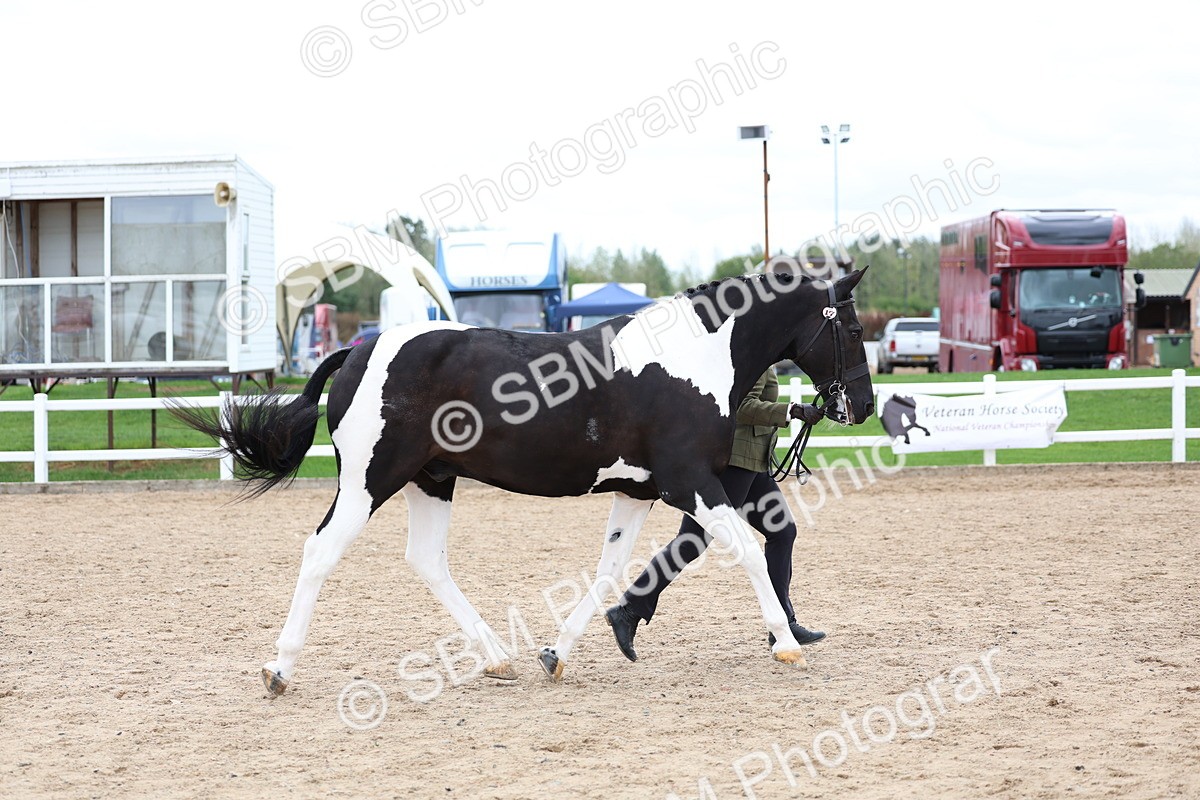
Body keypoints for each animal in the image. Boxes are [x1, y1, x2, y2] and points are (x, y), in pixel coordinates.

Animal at [172, 268, 874, 696]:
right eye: (852, 326)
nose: (861, 406)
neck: (692, 358)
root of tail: (361, 349)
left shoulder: (639, 492)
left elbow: (608, 572)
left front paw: (557, 654)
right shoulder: (692, 483)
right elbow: (751, 552)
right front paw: (787, 645)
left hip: (431, 478)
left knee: (426, 559)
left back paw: (496, 655)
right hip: (372, 479)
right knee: (321, 551)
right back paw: (279, 669)